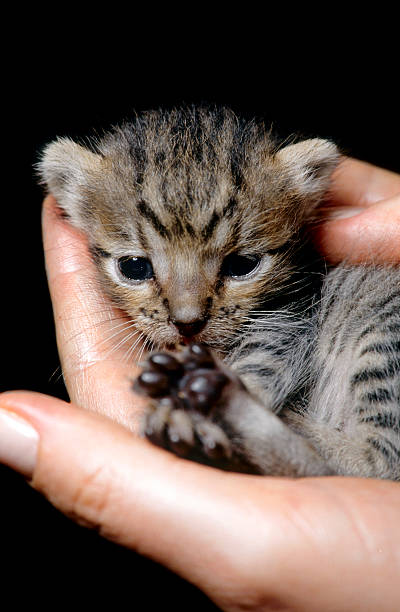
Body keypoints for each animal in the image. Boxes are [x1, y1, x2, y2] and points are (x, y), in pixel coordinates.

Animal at [38, 106, 400, 478]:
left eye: (242, 264)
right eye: (134, 267)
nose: (187, 323)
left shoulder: (292, 315)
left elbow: (262, 360)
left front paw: (193, 411)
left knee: (377, 463)